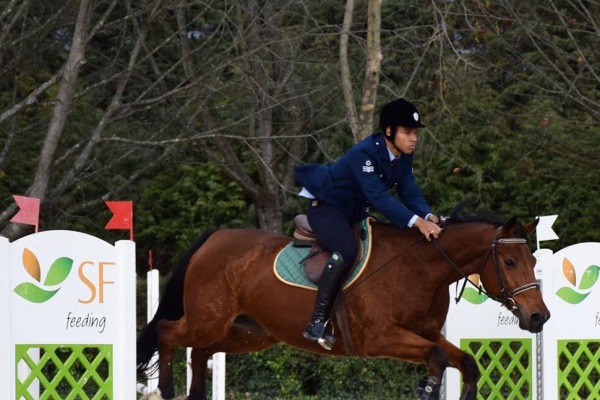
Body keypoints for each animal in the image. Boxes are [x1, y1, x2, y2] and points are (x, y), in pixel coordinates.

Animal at [138, 209, 552, 400]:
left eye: (533, 260)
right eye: (510, 262)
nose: (539, 317)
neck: (421, 268)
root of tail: (213, 238)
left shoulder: (425, 334)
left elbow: (465, 361)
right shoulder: (382, 338)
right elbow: (435, 358)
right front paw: (427, 389)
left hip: (246, 333)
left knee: (200, 352)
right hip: (210, 322)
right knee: (168, 334)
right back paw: (167, 389)